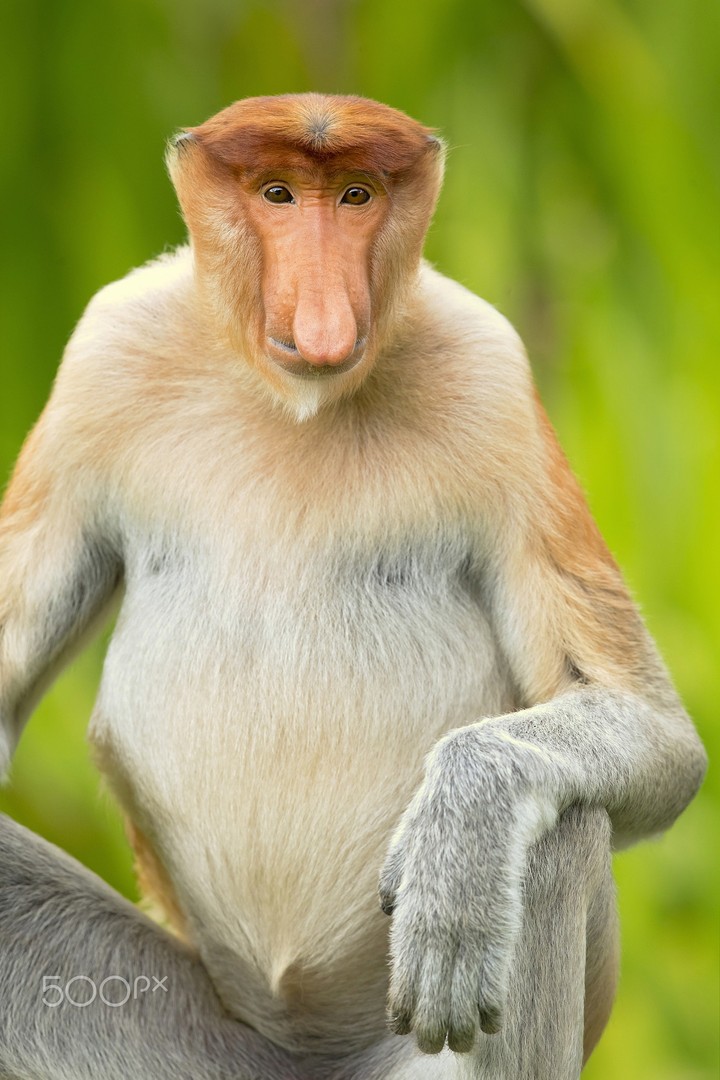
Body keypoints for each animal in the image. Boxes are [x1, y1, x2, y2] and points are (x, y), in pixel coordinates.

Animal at [0, 93, 707, 1080]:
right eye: (278, 193)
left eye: (358, 196)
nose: (326, 316)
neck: (295, 401)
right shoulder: (99, 358)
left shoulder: (494, 375)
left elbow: (651, 730)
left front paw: (462, 835)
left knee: (560, 826)